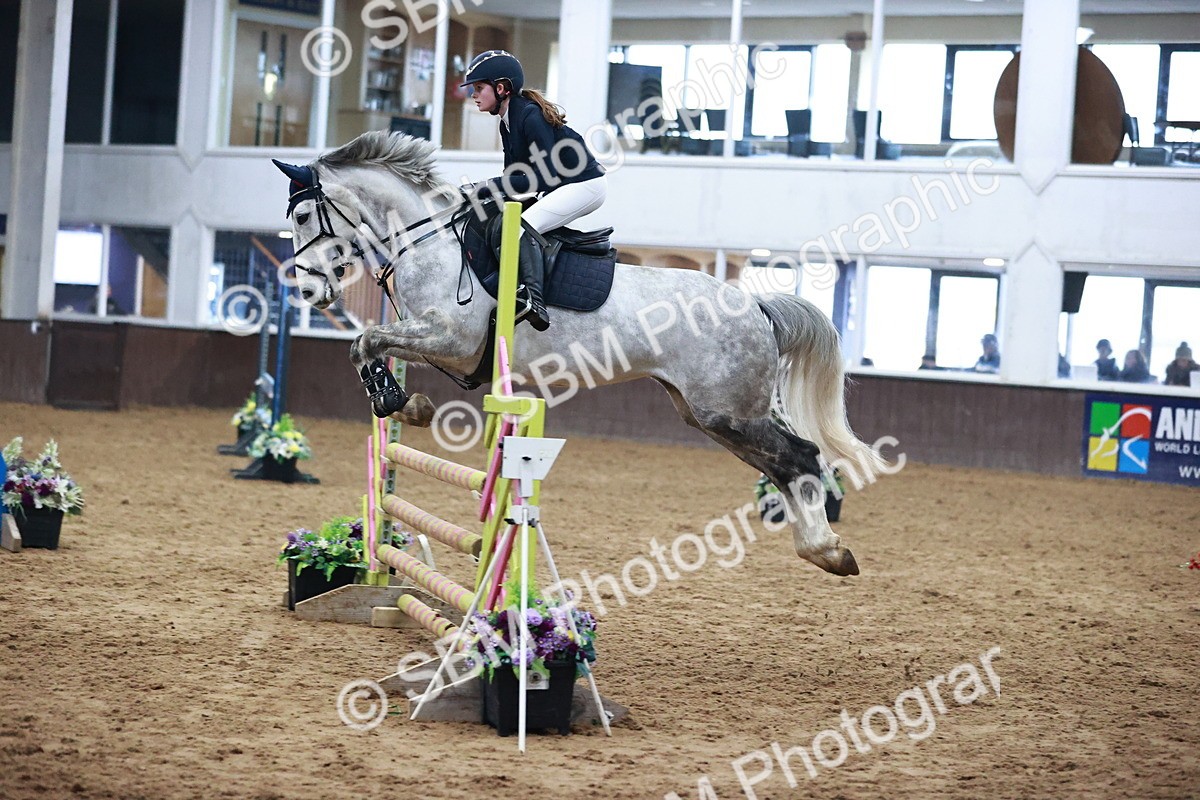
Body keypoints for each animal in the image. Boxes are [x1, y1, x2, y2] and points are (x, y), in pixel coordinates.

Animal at [277, 131, 885, 577]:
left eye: (304, 218)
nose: (306, 291)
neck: (426, 241)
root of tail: (755, 303)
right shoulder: (442, 348)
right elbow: (367, 346)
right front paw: (409, 405)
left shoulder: (451, 339)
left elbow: (365, 341)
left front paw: (394, 400)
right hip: (710, 415)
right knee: (783, 466)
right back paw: (821, 548)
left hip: (728, 411)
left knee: (801, 457)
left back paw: (828, 550)